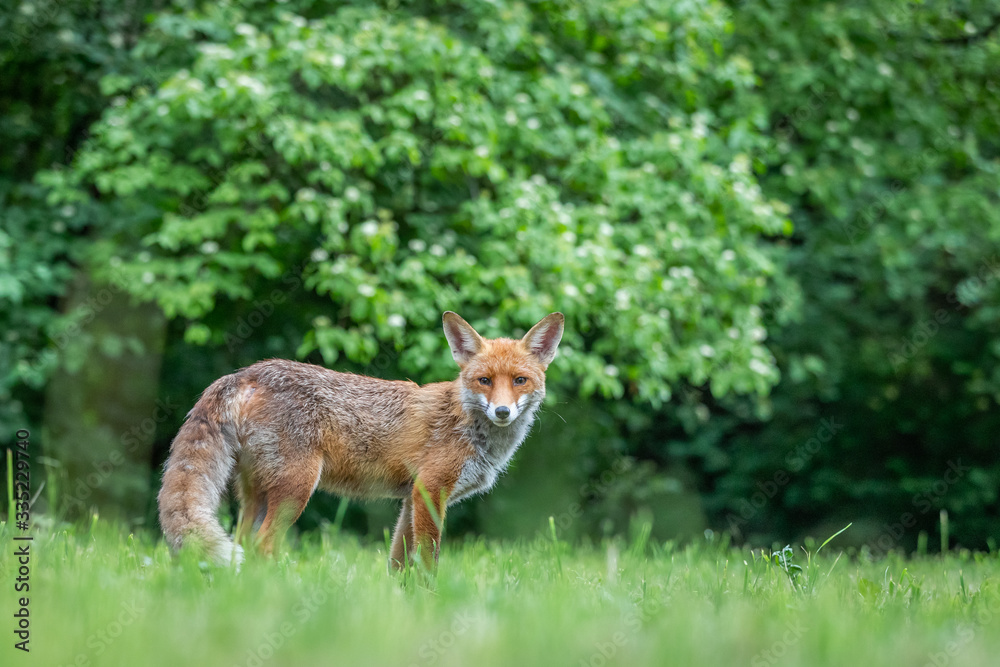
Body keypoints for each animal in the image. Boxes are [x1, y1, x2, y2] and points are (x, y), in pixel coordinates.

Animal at [156, 312, 564, 568]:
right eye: (484, 381)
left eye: (520, 381)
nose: (502, 412)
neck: (468, 425)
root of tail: (247, 372)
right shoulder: (431, 491)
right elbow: (428, 561)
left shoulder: (409, 500)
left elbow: (398, 565)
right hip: (295, 490)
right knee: (262, 546)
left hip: (255, 497)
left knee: (242, 545)